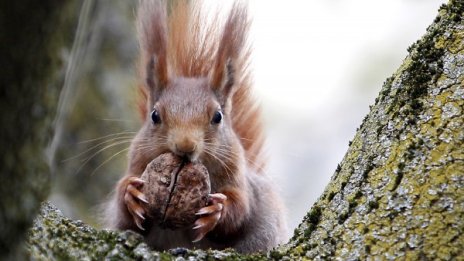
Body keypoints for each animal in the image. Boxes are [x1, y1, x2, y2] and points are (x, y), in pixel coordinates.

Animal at [104, 0, 286, 252]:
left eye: (218, 116)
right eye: (154, 116)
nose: (185, 146)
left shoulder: (239, 180)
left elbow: (240, 209)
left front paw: (217, 211)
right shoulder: (137, 163)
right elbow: (124, 216)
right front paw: (130, 194)